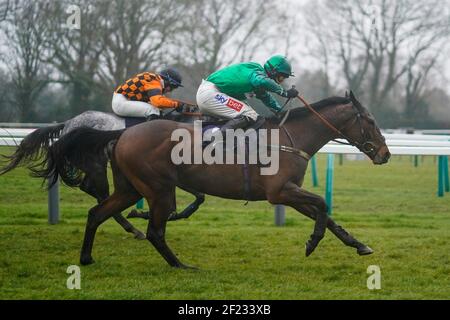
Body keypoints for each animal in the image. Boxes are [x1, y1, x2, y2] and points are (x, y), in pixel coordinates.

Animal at [35, 90, 388, 268]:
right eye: (370, 121)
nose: (385, 154)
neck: (289, 136)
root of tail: (122, 132)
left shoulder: (289, 191)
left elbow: (325, 215)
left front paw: (359, 245)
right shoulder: (279, 192)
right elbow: (322, 205)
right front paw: (312, 243)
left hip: (130, 187)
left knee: (97, 213)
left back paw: (86, 258)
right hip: (159, 188)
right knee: (155, 231)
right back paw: (181, 265)